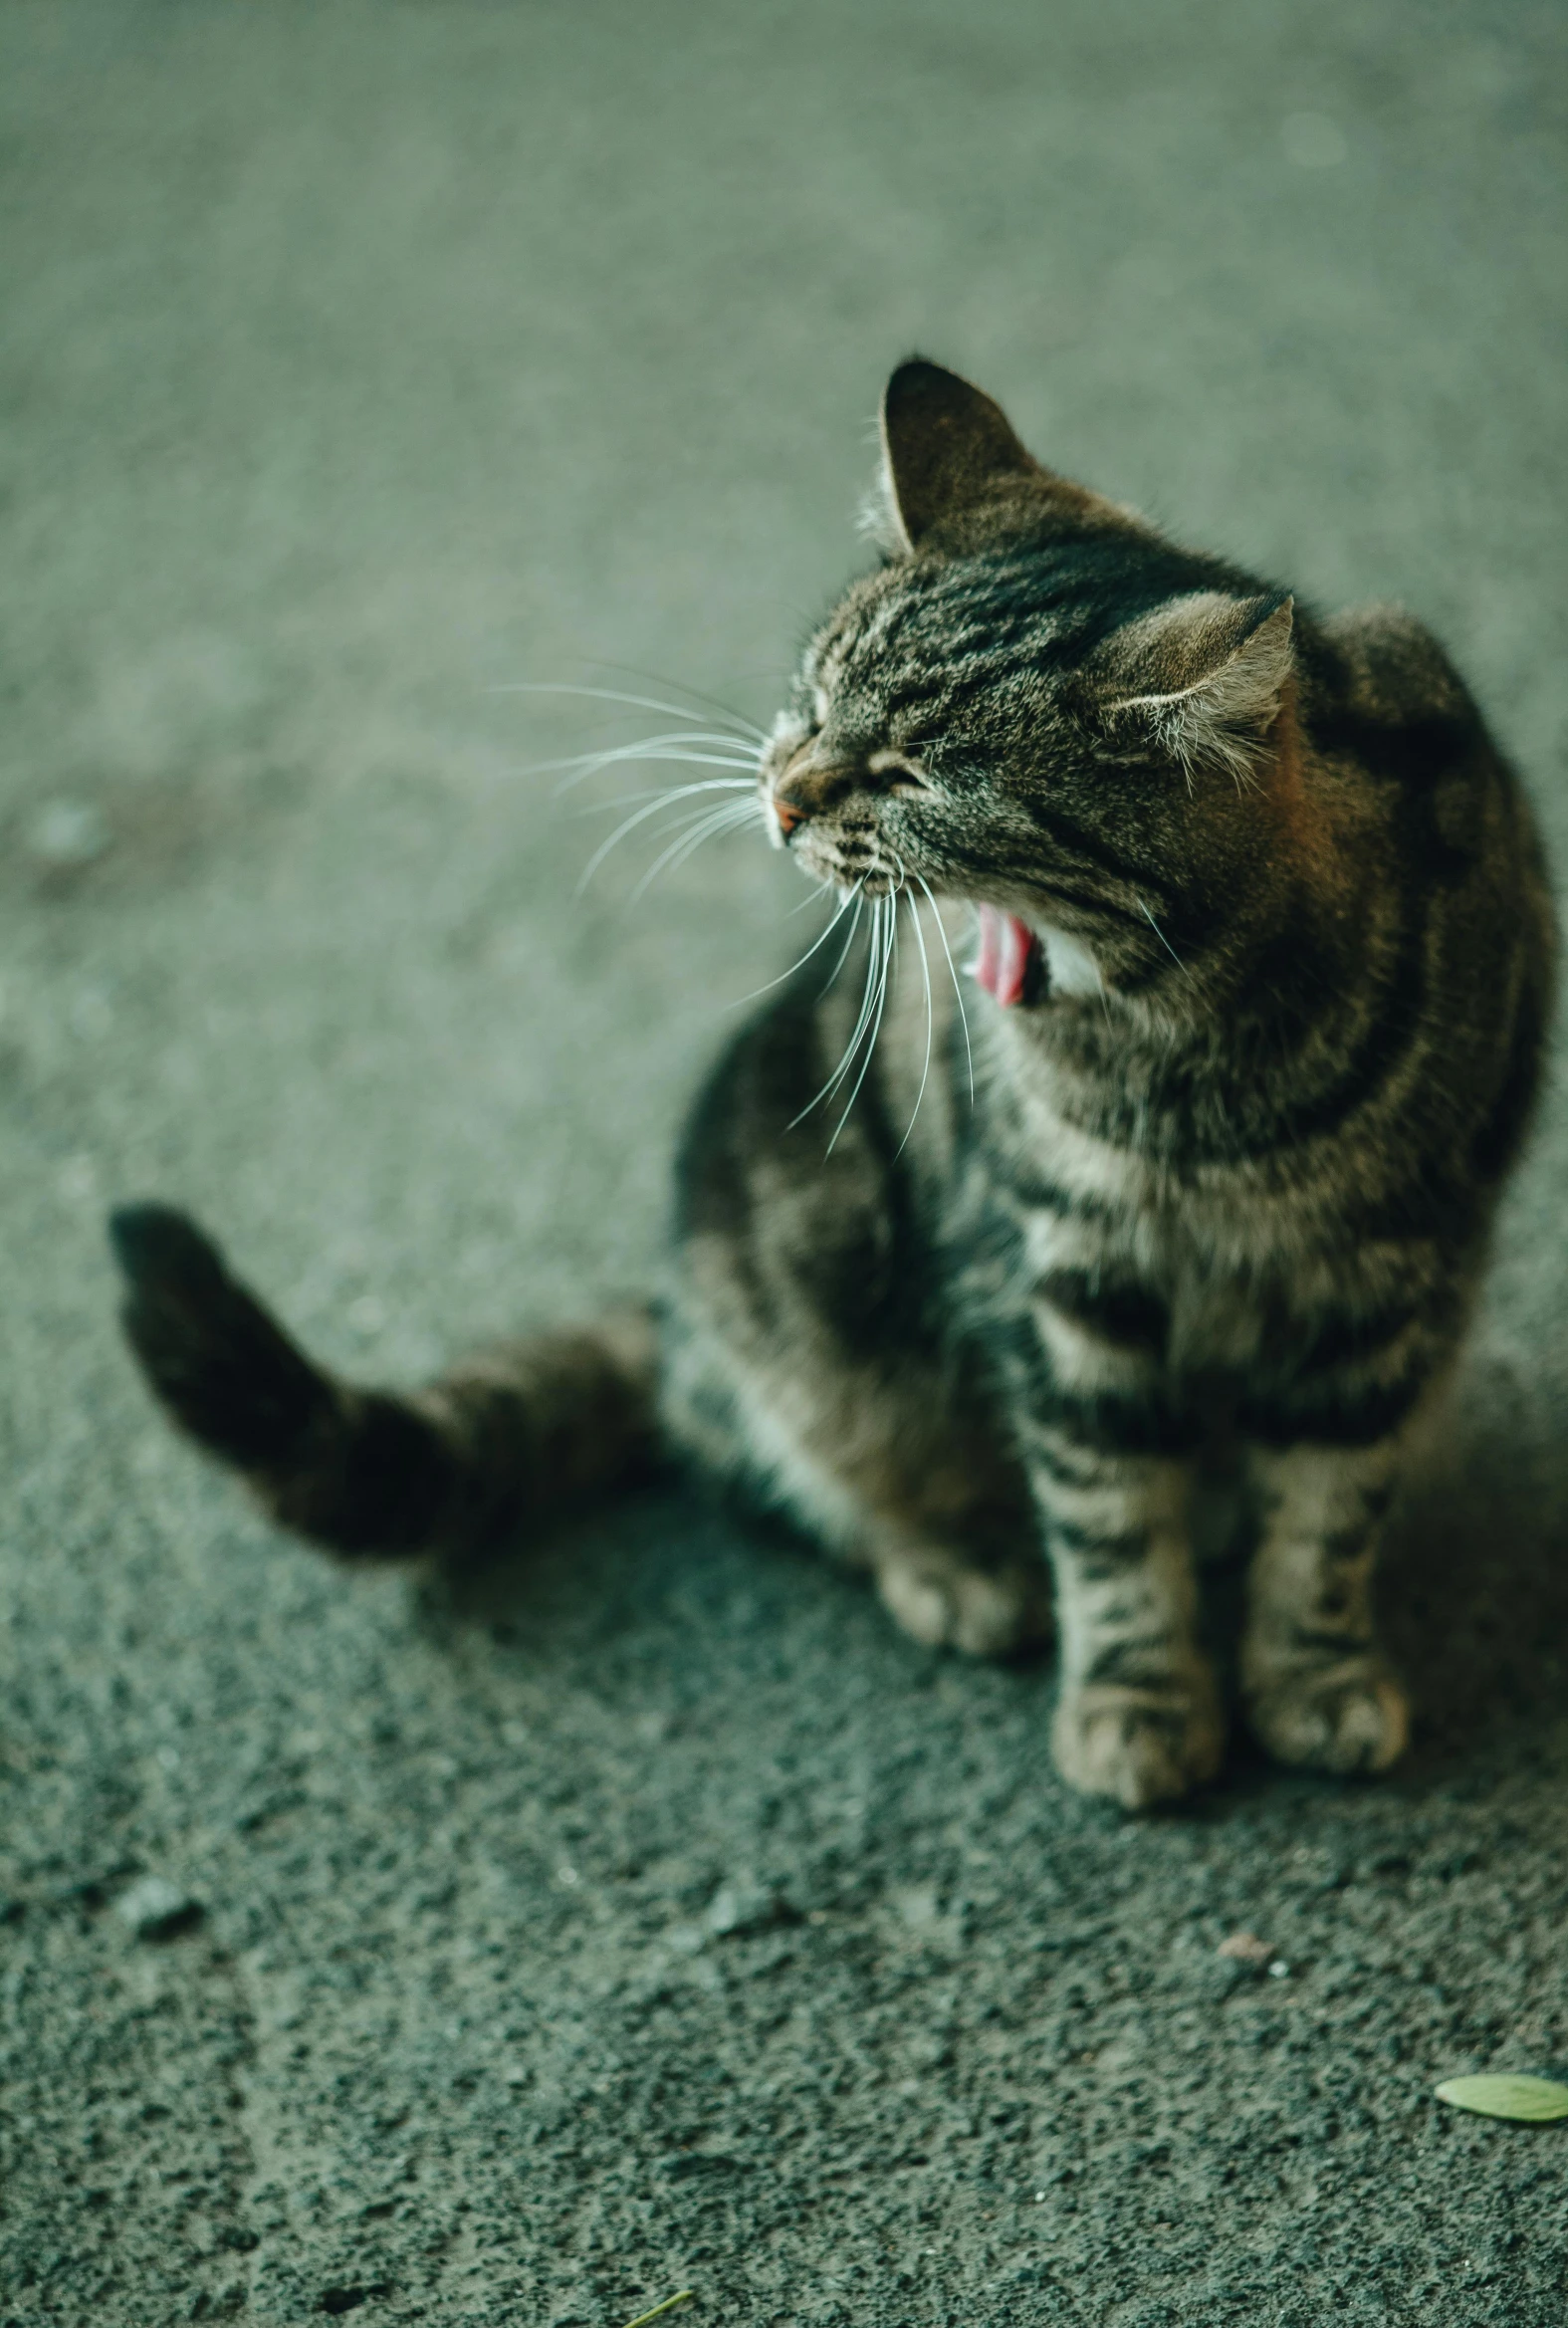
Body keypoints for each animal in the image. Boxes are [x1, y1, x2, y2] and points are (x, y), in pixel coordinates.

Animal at [112, 367, 1553, 1815]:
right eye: (811, 698)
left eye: (914, 774)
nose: (782, 795)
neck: (1188, 1031)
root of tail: (673, 1313)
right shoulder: (1068, 1279)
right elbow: (1106, 1522)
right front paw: (1136, 1699)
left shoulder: (1385, 1279)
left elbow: (1327, 1513)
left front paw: (1312, 1671)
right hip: (803, 1275)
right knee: (802, 1472)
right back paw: (955, 1566)